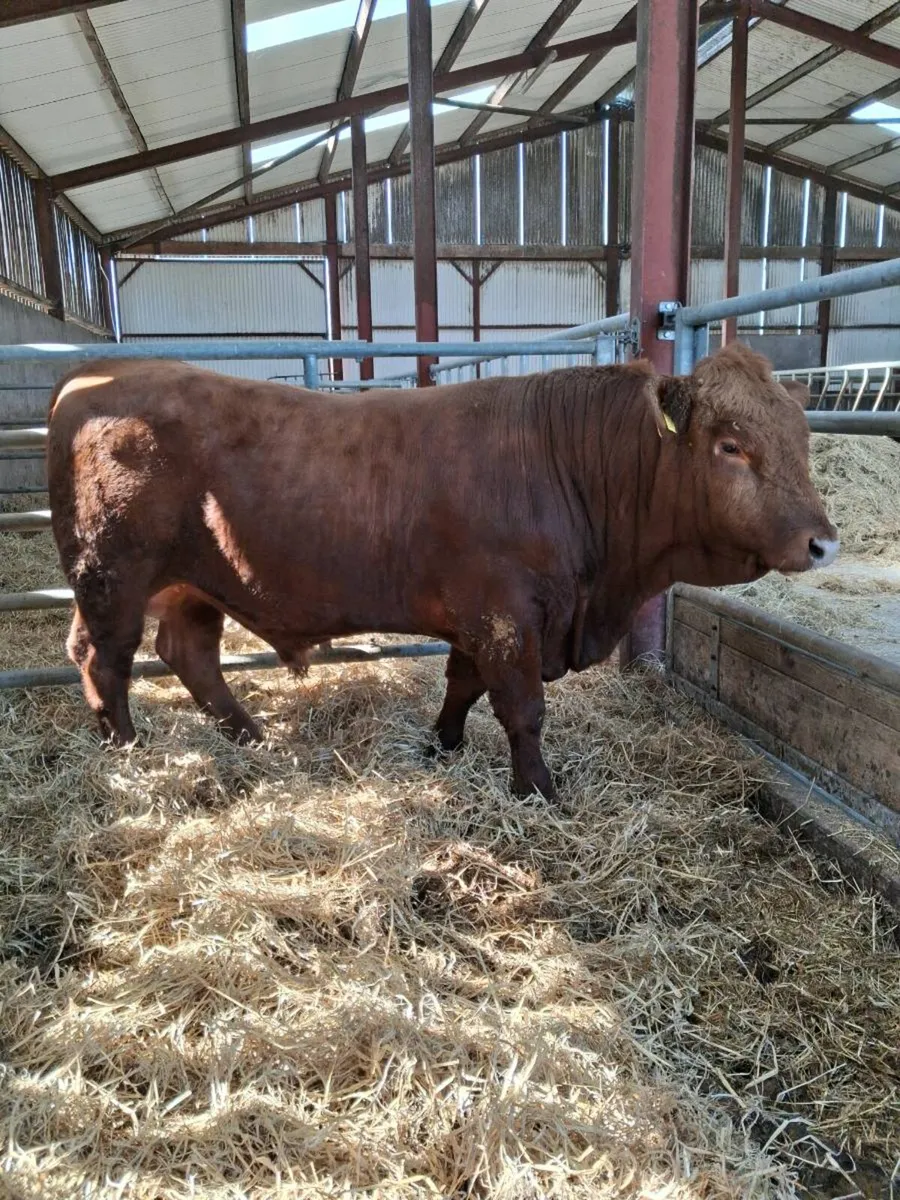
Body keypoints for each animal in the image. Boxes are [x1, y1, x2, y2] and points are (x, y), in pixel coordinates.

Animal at [46, 343, 838, 800]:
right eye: (731, 445)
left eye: (803, 436)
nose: (822, 542)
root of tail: (87, 376)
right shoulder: (507, 616)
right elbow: (522, 708)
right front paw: (538, 789)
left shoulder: (476, 620)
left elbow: (463, 684)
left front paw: (443, 743)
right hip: (111, 575)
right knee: (103, 657)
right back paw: (126, 748)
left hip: (192, 582)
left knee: (189, 654)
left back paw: (250, 736)